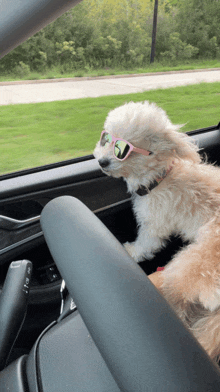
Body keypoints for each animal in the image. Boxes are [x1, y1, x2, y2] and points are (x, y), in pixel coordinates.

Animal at [94, 102, 220, 362]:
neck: (161, 177)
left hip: (185, 267)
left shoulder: (154, 226)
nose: (102, 162)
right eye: (106, 138)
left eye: (124, 150)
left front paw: (129, 252)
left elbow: (144, 245)